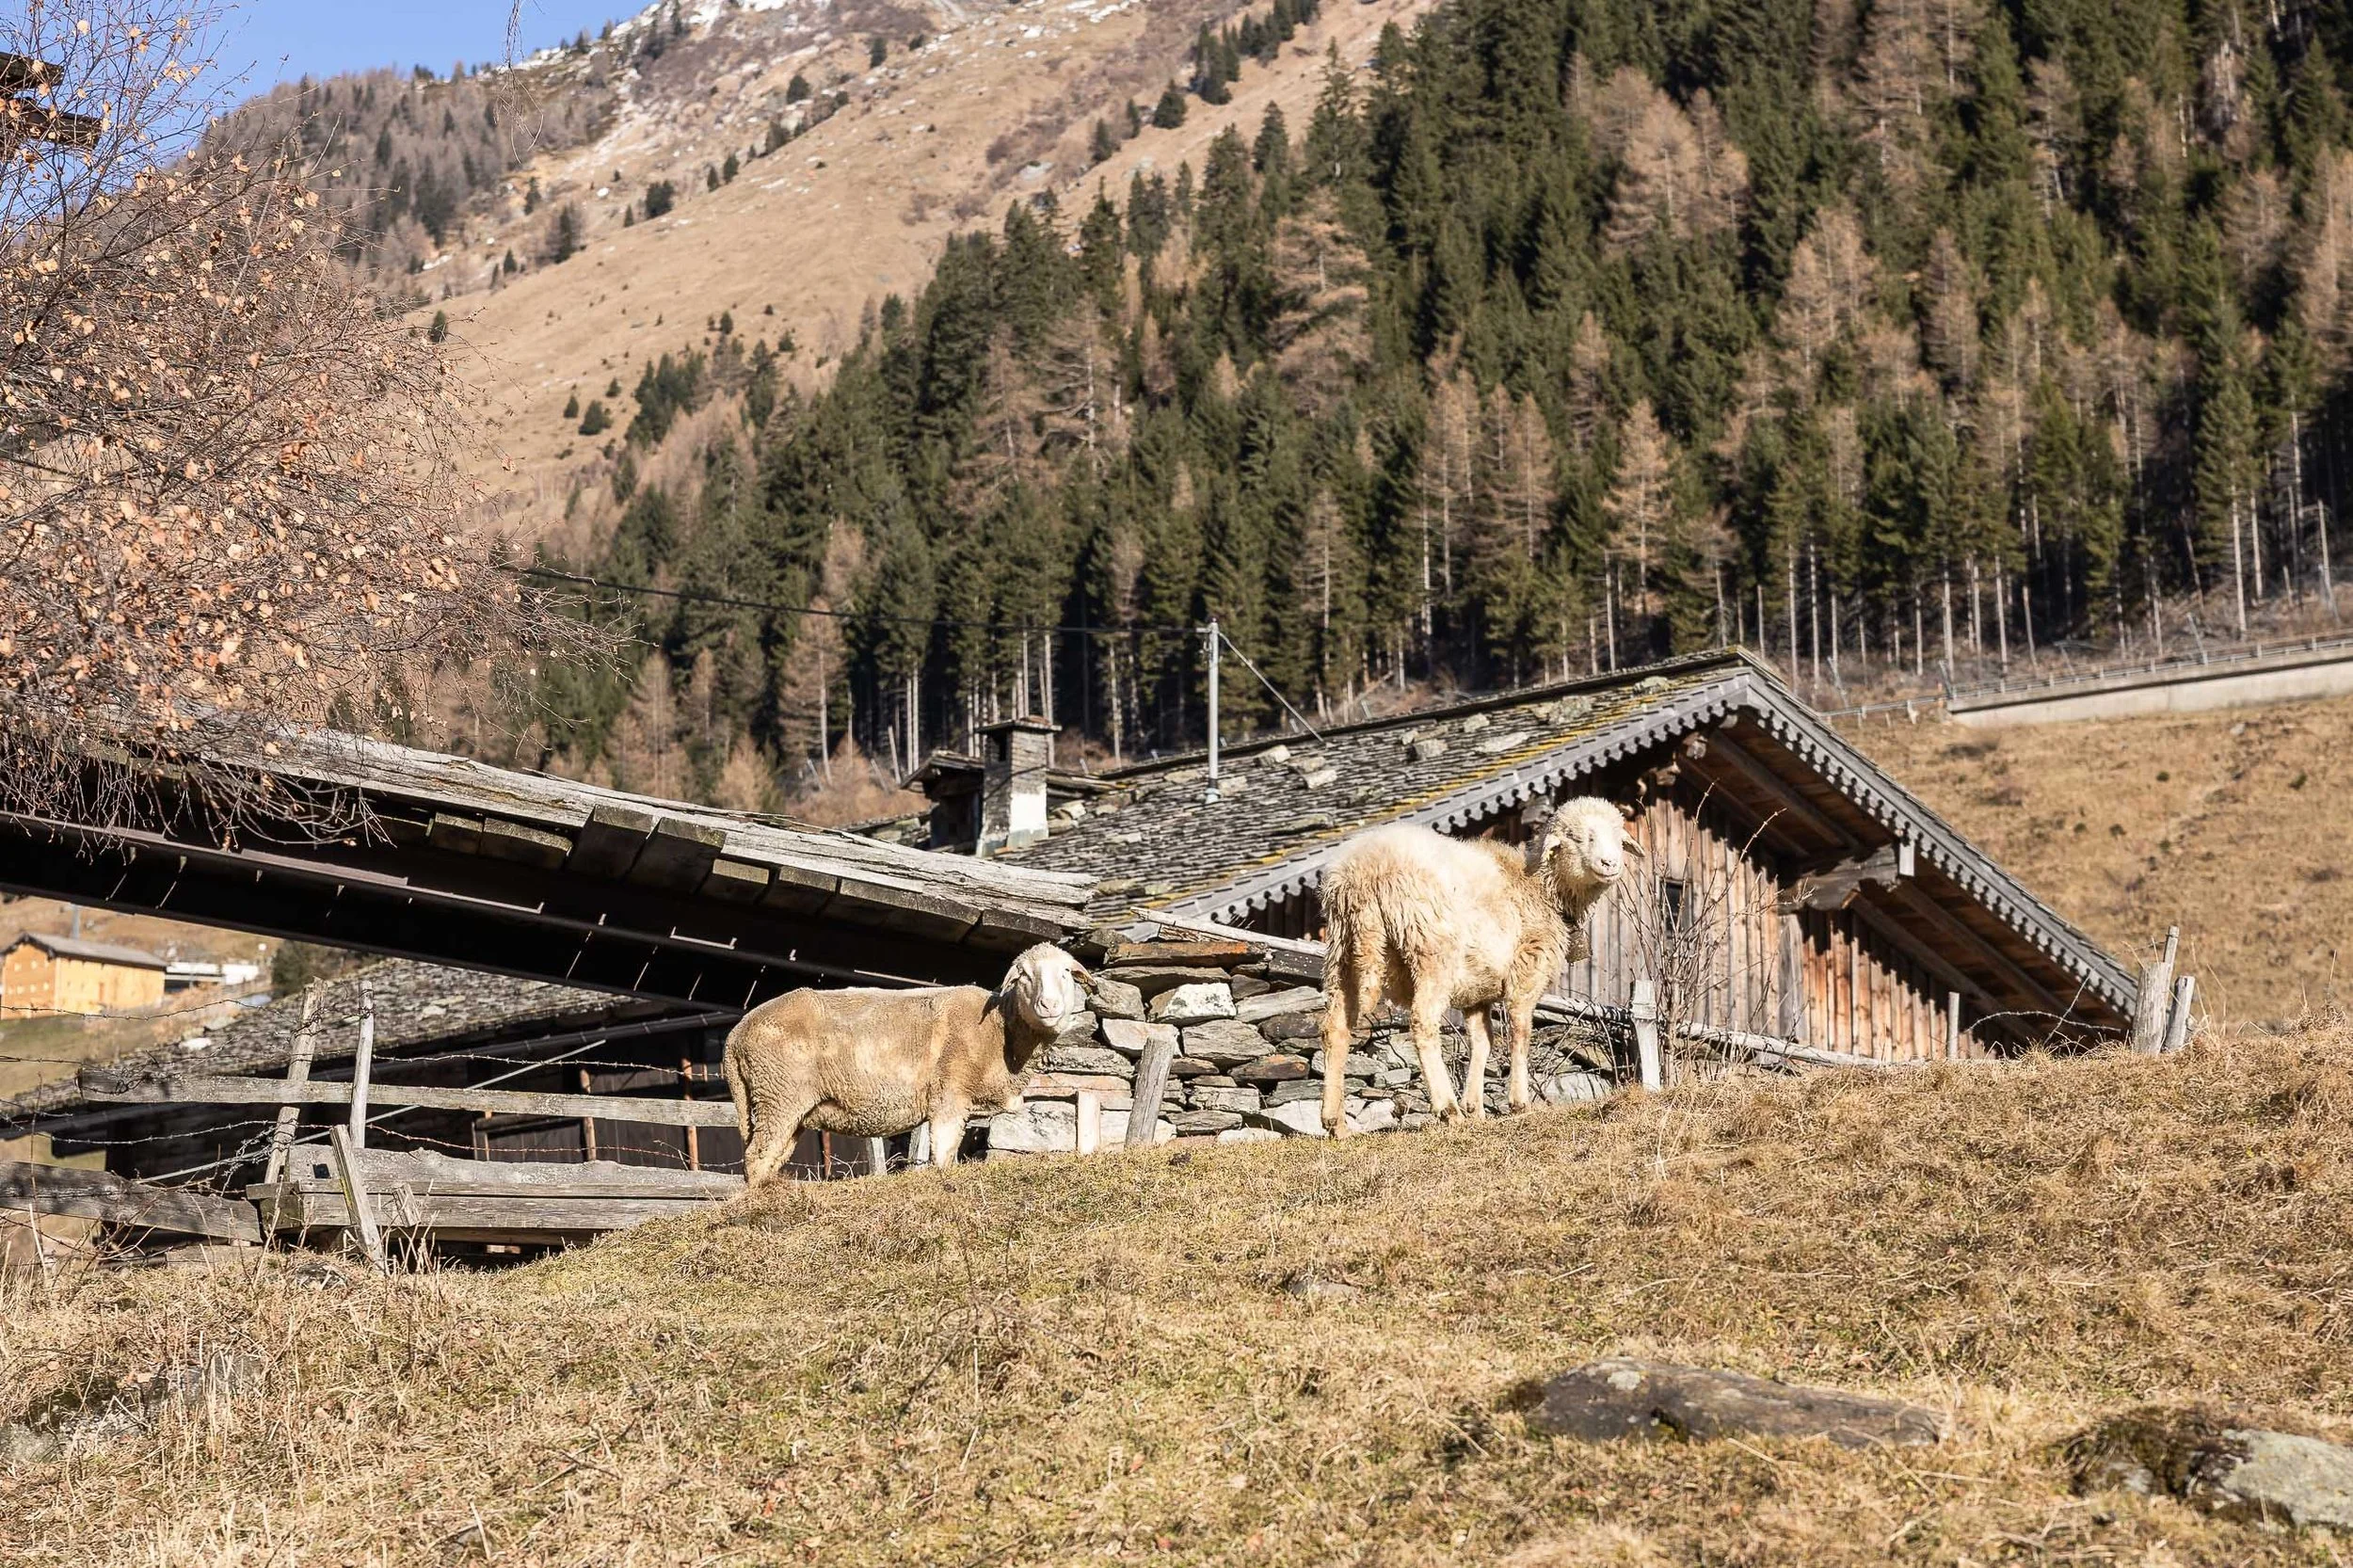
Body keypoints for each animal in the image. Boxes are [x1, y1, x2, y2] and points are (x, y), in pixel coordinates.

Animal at [722, 944, 1092, 1186]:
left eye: (1065, 974)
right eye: (1024, 976)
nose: (1049, 1005)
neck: (998, 1032)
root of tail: (736, 1034)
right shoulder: (948, 1097)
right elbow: (943, 1156)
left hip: (780, 1103)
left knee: (768, 1158)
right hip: (779, 1096)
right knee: (757, 1158)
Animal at [1316, 797, 1643, 1135]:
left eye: (1618, 837)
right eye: (1578, 839)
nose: (1610, 864)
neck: (1541, 889)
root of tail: (1362, 875)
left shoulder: (1477, 990)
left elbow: (1482, 1041)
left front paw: (1476, 1107)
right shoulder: (1527, 970)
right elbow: (1520, 1033)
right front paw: (1518, 1103)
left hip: (1342, 951)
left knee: (1335, 1028)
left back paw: (1335, 1122)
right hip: (1431, 951)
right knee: (1422, 1022)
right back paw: (1447, 1108)